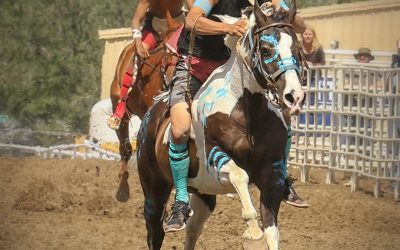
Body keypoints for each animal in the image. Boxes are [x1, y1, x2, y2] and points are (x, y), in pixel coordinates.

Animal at [136, 0, 304, 249]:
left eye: (298, 49)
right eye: (265, 49)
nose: (294, 96)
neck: (245, 111)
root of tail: (150, 115)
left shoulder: (272, 174)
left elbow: (272, 231)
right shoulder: (215, 155)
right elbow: (240, 176)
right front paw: (252, 230)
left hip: (204, 195)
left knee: (193, 230)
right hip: (154, 192)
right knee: (155, 232)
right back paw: (177, 215)